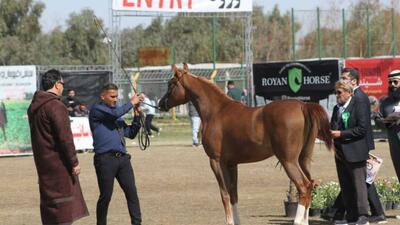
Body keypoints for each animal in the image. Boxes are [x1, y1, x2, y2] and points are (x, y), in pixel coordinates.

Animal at [158, 64, 332, 225]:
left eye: (171, 84)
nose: (160, 104)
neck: (216, 111)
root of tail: (303, 105)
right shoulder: (232, 164)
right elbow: (234, 195)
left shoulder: (216, 162)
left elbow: (224, 194)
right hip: (303, 160)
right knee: (311, 185)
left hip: (288, 160)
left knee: (303, 186)